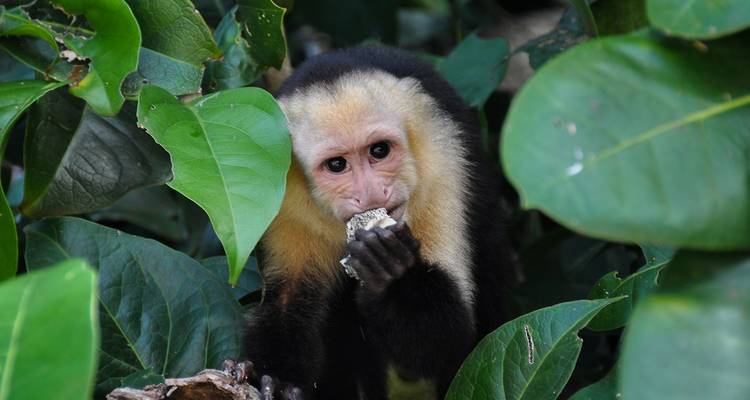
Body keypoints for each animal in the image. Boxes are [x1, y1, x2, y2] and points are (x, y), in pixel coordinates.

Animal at [230, 45, 512, 400]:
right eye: (337, 165)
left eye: (379, 151)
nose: (372, 192)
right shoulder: (279, 186)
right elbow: (289, 299)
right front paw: (276, 379)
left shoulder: (442, 159)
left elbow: (449, 341)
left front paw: (389, 273)